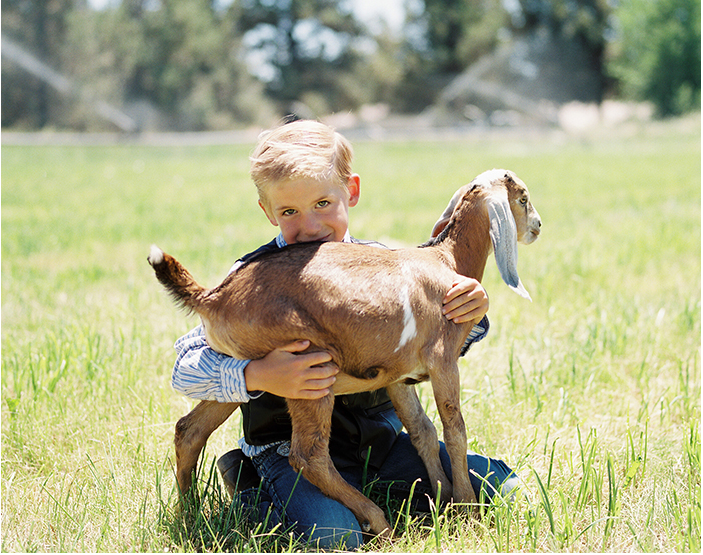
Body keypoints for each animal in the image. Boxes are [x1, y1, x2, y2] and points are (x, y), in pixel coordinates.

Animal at [150, 169, 544, 540]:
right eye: (523, 198)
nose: (537, 227)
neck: (447, 260)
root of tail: (213, 296)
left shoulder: (399, 376)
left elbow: (424, 431)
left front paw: (442, 500)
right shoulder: (443, 360)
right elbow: (455, 430)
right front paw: (467, 509)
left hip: (243, 372)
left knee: (190, 429)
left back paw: (189, 516)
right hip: (307, 374)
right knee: (307, 455)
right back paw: (379, 524)